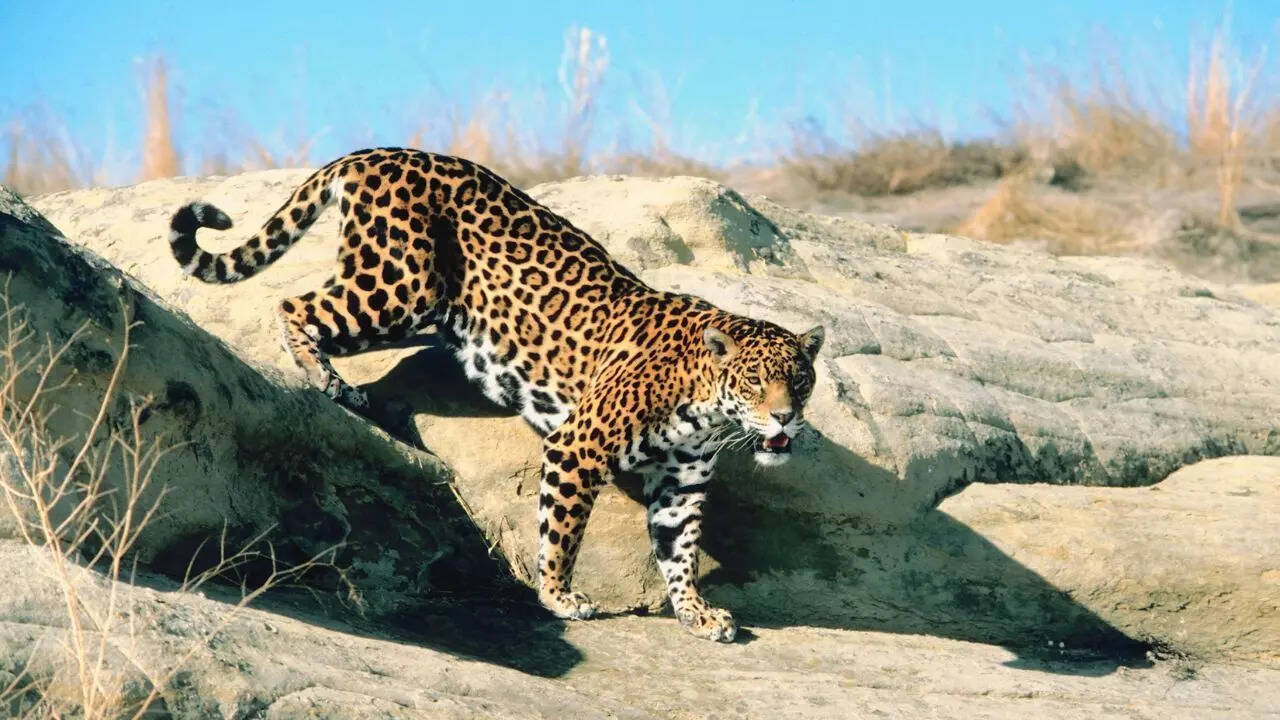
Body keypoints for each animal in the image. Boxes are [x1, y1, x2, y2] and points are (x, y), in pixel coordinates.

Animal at [167, 148, 824, 642]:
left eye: (799, 381)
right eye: (755, 382)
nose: (784, 418)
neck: (705, 403)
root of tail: (380, 151)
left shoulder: (682, 482)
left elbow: (680, 547)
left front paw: (696, 612)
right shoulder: (578, 448)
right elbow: (561, 531)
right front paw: (558, 596)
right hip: (401, 288)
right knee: (294, 303)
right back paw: (324, 377)